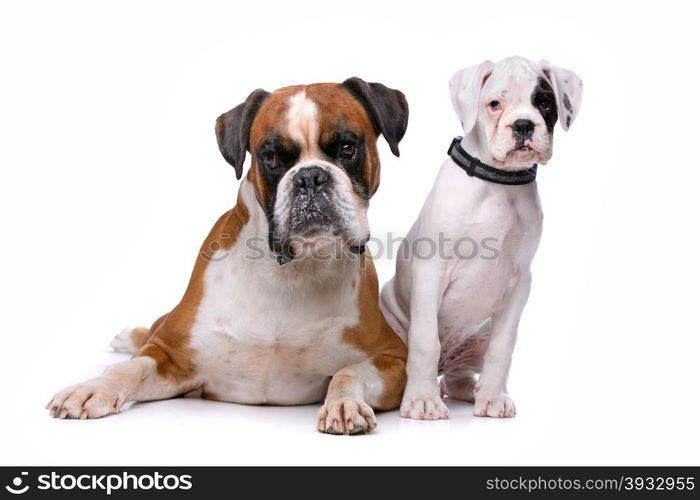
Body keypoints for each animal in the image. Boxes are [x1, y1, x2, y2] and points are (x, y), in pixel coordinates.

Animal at [46, 78, 410, 434]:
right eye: (270, 157)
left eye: (347, 148)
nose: (310, 177)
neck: (290, 272)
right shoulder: (170, 355)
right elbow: (129, 369)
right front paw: (92, 388)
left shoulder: (393, 358)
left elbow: (349, 372)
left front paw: (344, 403)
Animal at [380, 55, 584, 418]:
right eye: (494, 104)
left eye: (545, 103)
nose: (523, 125)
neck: (499, 182)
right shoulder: (431, 271)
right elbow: (425, 341)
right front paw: (422, 400)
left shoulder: (520, 282)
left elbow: (504, 347)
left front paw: (492, 397)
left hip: (479, 335)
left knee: (456, 377)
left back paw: (472, 392)